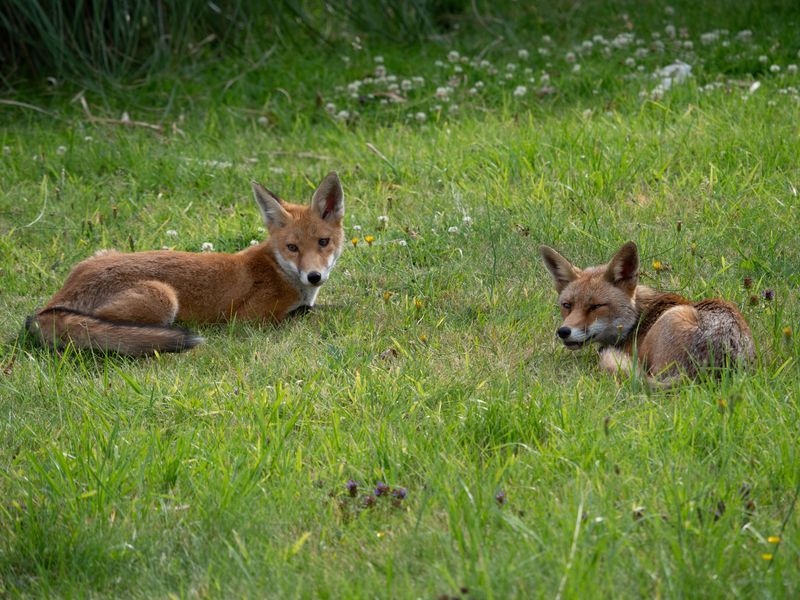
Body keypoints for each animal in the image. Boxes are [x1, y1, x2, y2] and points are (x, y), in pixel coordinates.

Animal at [25, 172, 345, 356]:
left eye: (323, 242)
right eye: (292, 248)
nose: (314, 276)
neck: (277, 269)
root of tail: (47, 308)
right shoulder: (251, 319)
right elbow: (313, 313)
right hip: (162, 298)